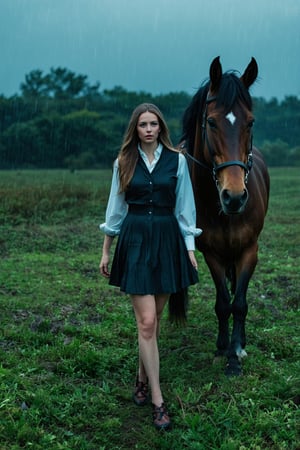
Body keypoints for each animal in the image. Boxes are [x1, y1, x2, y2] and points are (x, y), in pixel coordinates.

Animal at [180, 56, 270, 376]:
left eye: (251, 122)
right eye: (211, 121)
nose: (234, 196)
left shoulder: (250, 251)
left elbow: (240, 303)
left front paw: (235, 354)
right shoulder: (212, 254)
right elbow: (223, 302)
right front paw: (222, 349)